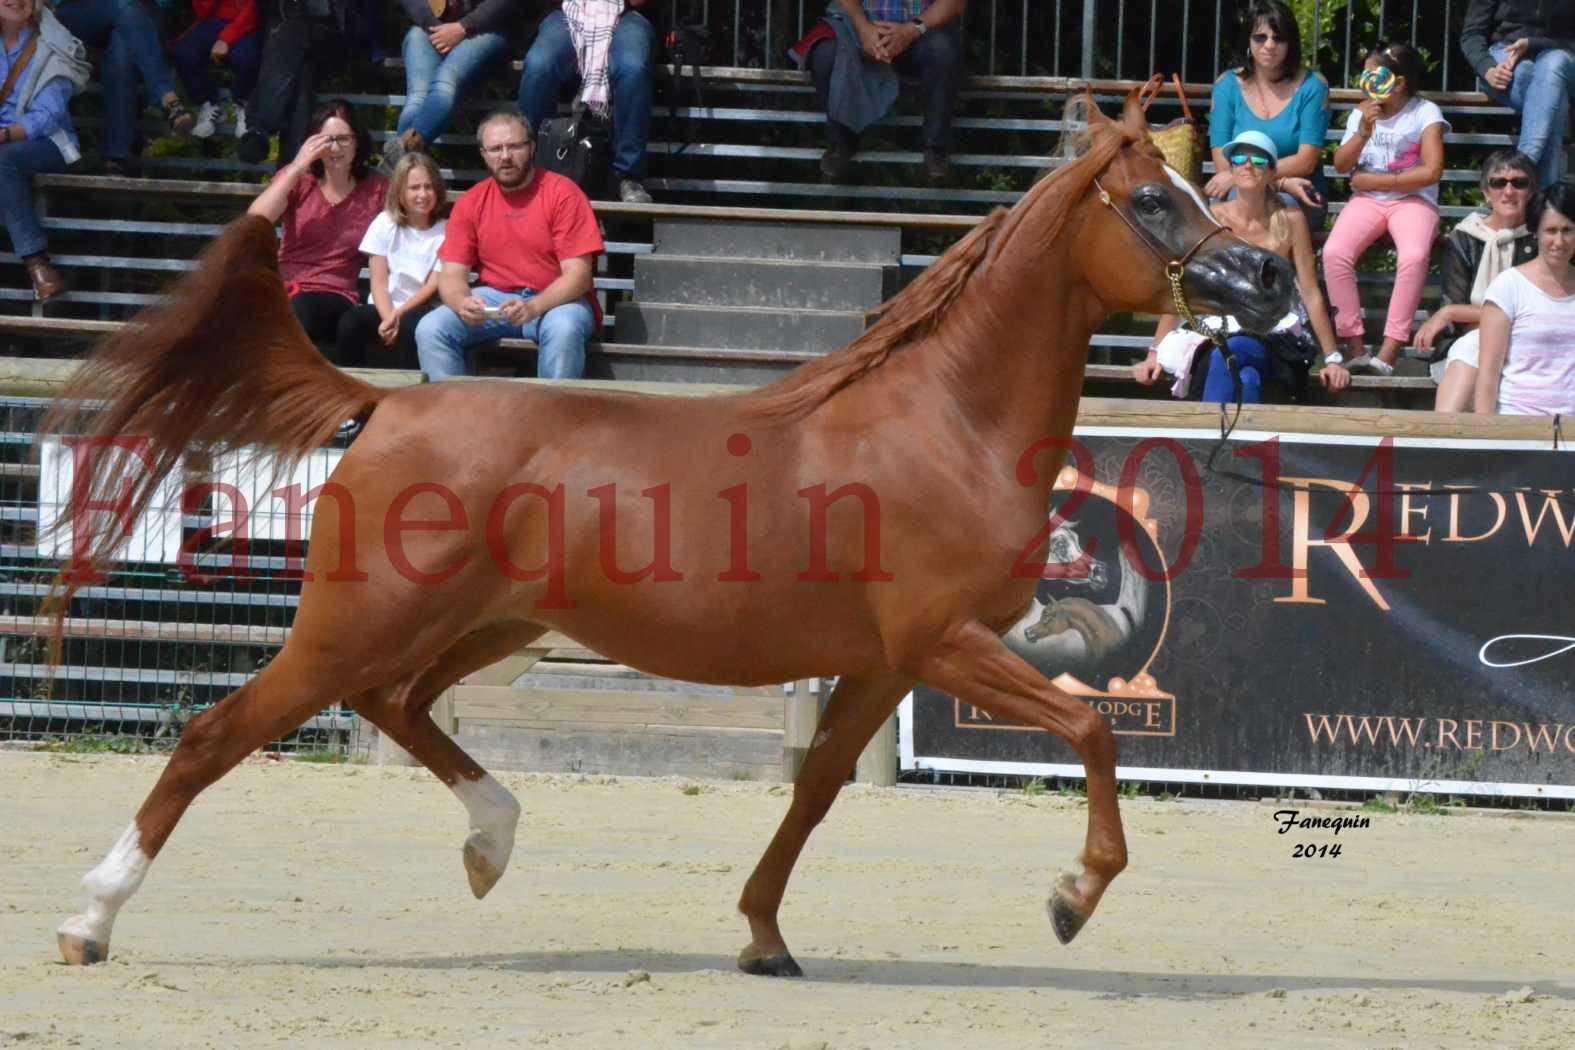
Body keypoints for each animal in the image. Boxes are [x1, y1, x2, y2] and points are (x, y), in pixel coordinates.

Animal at [46, 96, 1291, 976]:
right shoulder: (943, 644)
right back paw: (88, 920)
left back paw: (492, 844)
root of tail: (390, 404)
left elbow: (817, 788)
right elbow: (1091, 735)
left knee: (394, 707)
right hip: (358, 623)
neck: (943, 420)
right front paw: (1073, 900)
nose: (1272, 274)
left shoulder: (886, 664)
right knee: (217, 735)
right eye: (1153, 202)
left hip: (483, 625)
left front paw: (764, 939)